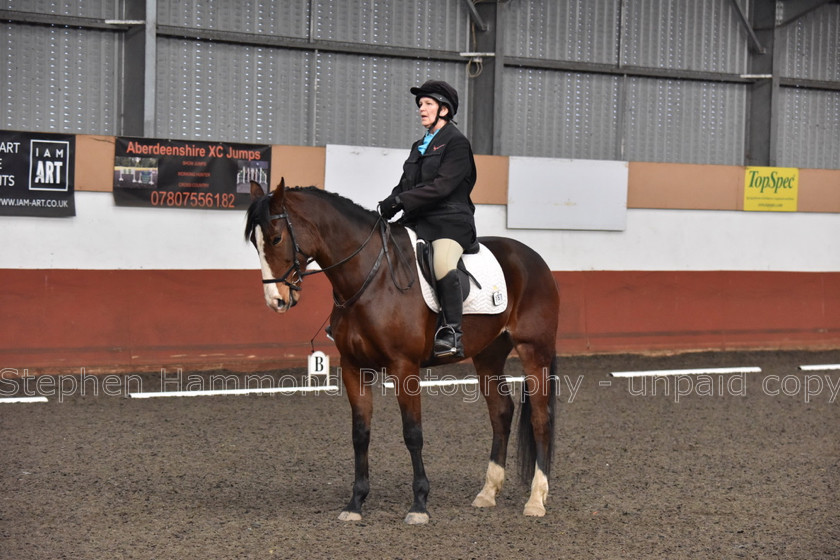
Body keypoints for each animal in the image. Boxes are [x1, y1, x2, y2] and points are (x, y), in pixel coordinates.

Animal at [243, 180, 556, 524]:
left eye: (276, 237)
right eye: (255, 242)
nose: (276, 300)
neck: (371, 279)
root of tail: (533, 257)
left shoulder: (404, 367)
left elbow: (412, 433)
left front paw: (419, 504)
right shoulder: (354, 368)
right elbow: (360, 434)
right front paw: (355, 503)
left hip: (534, 350)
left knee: (540, 418)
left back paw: (536, 500)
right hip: (488, 355)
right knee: (501, 412)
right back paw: (487, 494)